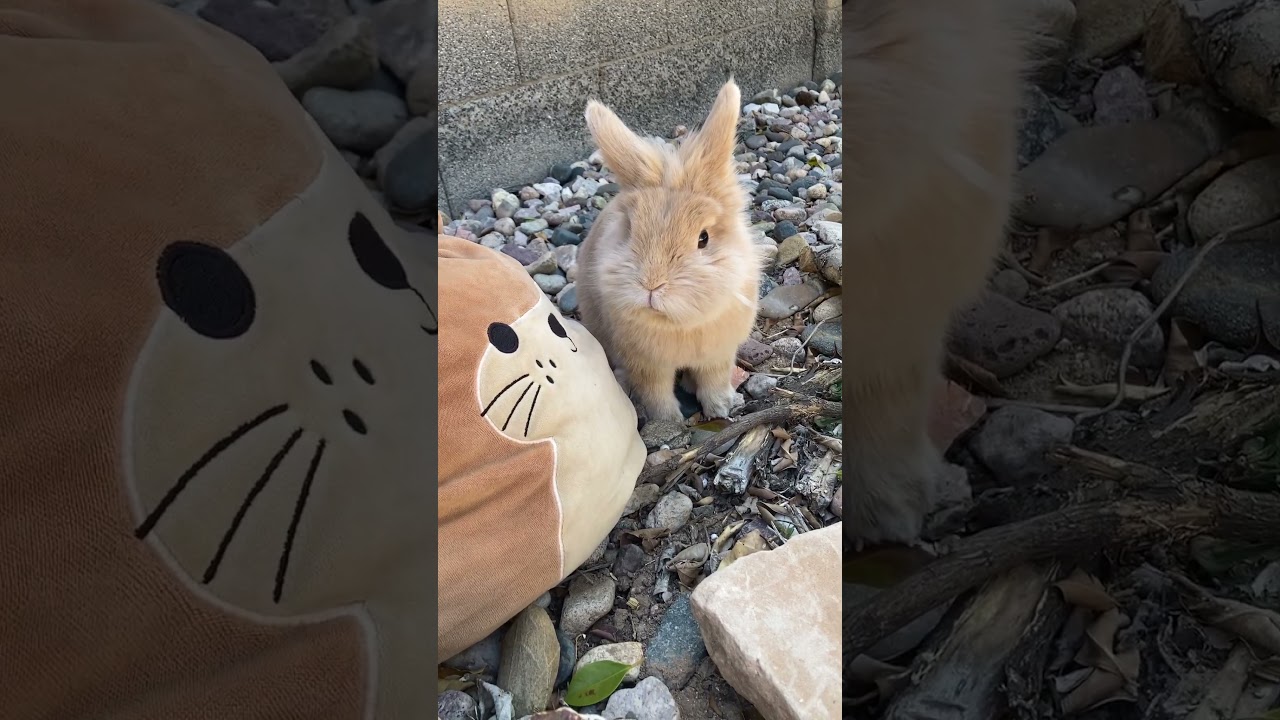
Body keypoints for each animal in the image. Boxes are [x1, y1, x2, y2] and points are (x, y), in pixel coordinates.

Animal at [575, 80, 765, 424]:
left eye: (703, 238)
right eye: (631, 230)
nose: (652, 286)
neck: (678, 324)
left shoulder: (718, 356)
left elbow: (713, 381)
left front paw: (721, 408)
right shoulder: (647, 365)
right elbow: (656, 393)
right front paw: (669, 422)